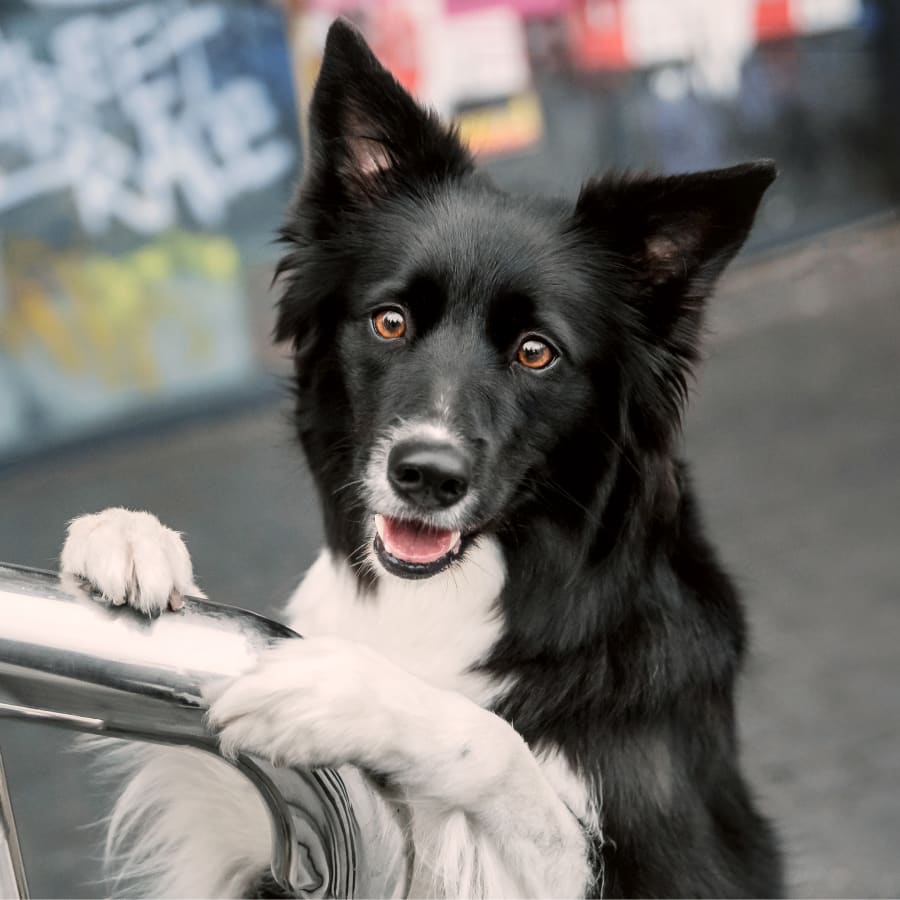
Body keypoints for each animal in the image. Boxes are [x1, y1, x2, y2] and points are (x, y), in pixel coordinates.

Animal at [59, 21, 784, 900]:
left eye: (536, 352)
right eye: (392, 321)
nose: (427, 476)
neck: (445, 598)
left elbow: (495, 747)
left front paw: (337, 691)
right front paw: (125, 538)